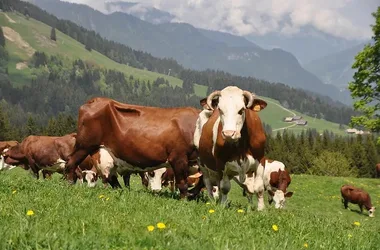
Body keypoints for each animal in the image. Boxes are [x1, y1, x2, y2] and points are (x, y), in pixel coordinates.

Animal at [64, 96, 202, 198]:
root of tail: (95, 100)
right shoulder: (178, 157)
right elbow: (182, 183)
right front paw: (184, 200)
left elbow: (200, 181)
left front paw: (192, 194)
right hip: (83, 146)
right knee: (71, 163)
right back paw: (69, 185)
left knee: (111, 177)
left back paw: (122, 191)